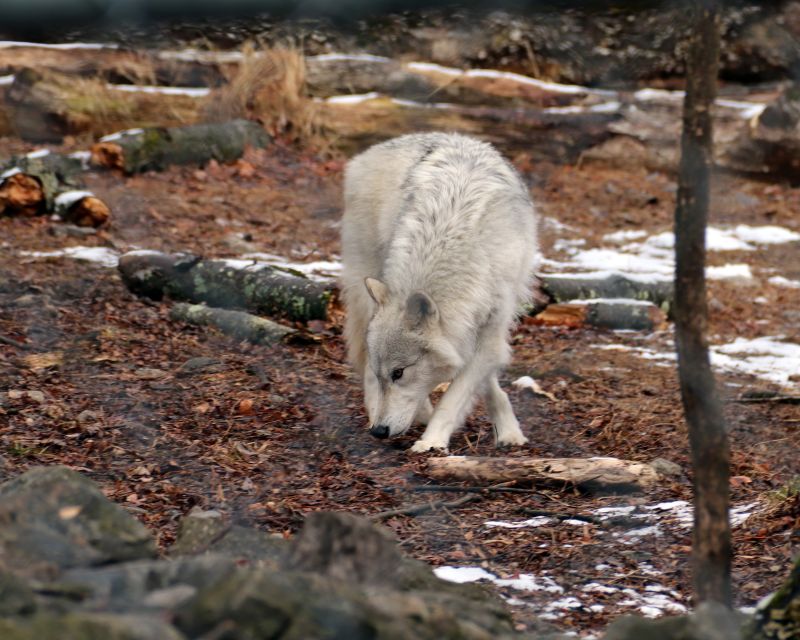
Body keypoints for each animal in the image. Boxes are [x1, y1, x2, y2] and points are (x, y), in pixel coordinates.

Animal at [340, 132, 540, 452]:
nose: (379, 431)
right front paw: (431, 438)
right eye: (388, 374)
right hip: (365, 285)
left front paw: (433, 440)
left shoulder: (491, 330)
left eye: (399, 373)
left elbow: (459, 393)